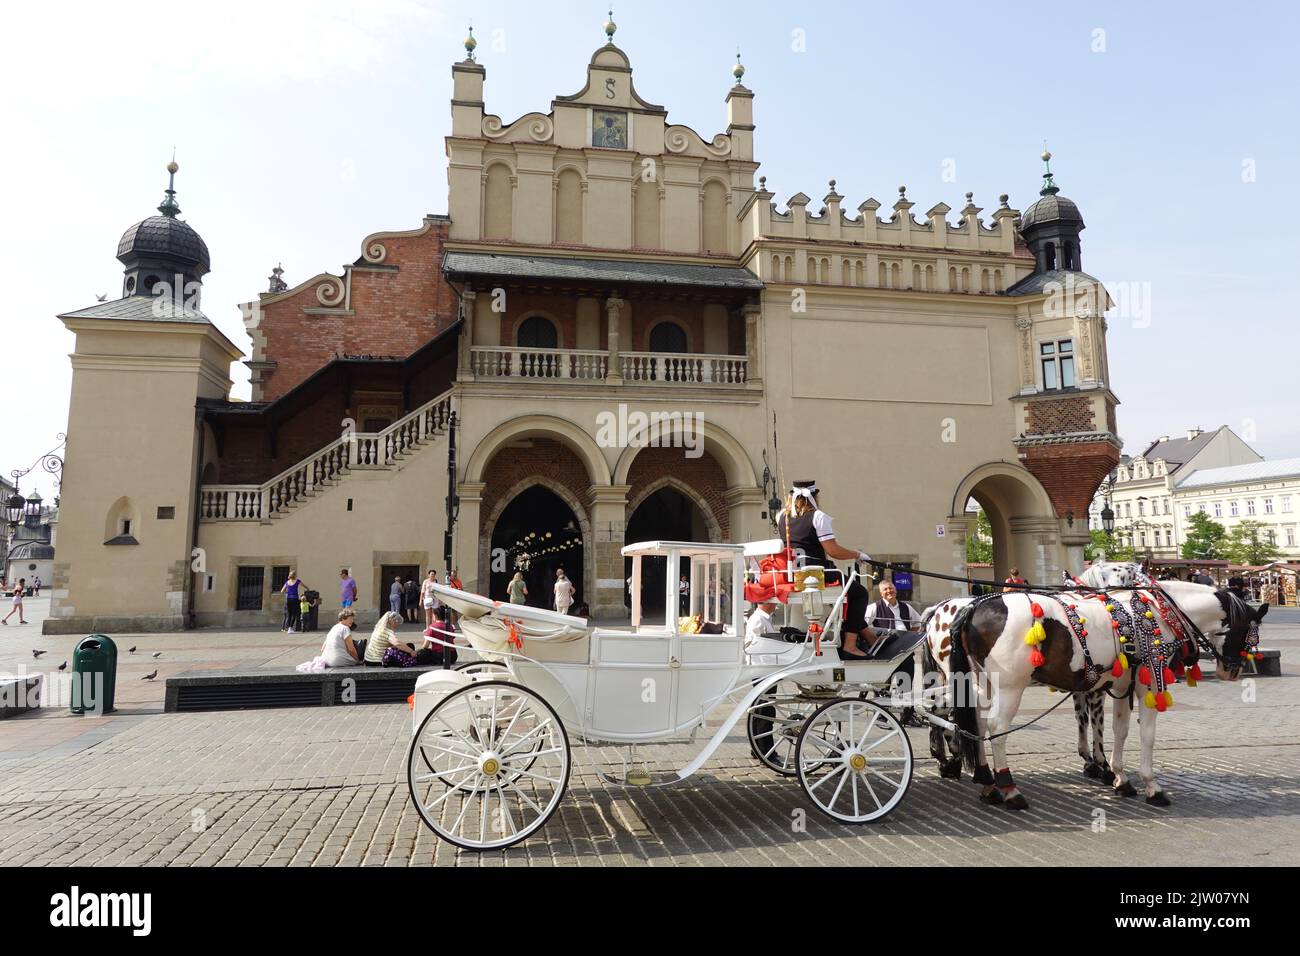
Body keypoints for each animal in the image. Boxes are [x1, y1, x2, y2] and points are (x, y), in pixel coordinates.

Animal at [925, 580, 1268, 811]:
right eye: (1246, 633)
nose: (1231, 671)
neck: (1158, 614)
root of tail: (971, 607)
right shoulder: (1150, 684)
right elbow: (1146, 736)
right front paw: (1152, 787)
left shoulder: (1122, 685)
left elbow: (1120, 730)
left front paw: (1119, 778)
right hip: (1010, 685)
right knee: (996, 728)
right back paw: (1009, 790)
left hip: (982, 681)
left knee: (977, 724)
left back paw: (986, 783)